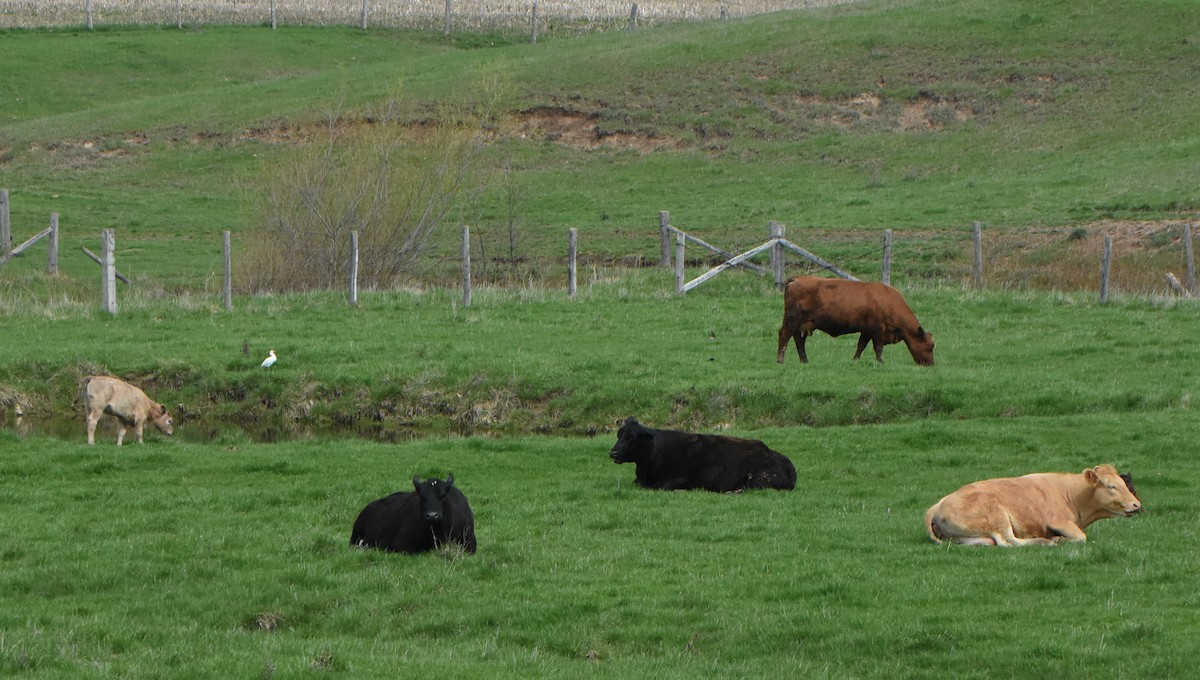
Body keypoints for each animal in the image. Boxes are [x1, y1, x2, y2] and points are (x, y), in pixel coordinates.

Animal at [776, 276, 934, 366]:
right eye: (929, 347)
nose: (931, 364)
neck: (889, 301)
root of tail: (796, 279)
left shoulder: (866, 331)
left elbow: (861, 346)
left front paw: (855, 360)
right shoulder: (877, 330)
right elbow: (878, 348)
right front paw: (881, 361)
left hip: (801, 325)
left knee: (799, 341)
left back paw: (804, 360)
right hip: (792, 320)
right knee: (784, 335)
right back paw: (780, 359)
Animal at [924, 464, 1143, 547]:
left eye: (1125, 484)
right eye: (1111, 486)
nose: (1136, 505)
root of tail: (936, 506)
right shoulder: (1060, 521)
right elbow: (1081, 537)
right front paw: (1058, 538)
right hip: (997, 516)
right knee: (1008, 541)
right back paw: (1044, 541)